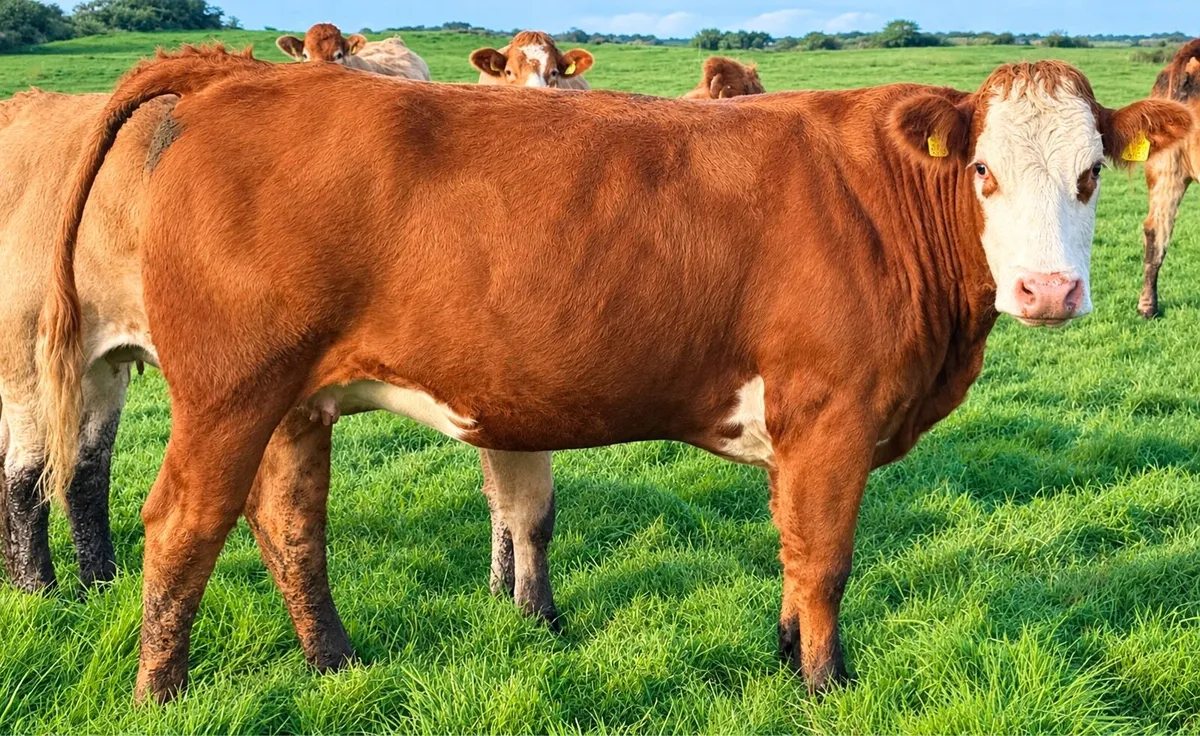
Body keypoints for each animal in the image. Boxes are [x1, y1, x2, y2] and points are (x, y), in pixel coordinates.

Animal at [38, 47, 1190, 703]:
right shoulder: (833, 411)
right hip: (230, 392)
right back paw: (159, 693)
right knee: (182, 526)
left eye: (1092, 174)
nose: (1047, 290)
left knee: (288, 523)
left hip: (293, 401)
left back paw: (335, 665)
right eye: (984, 171)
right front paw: (827, 686)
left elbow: (789, 553)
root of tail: (245, 77)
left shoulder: (798, 429)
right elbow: (824, 559)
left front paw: (786, 659)